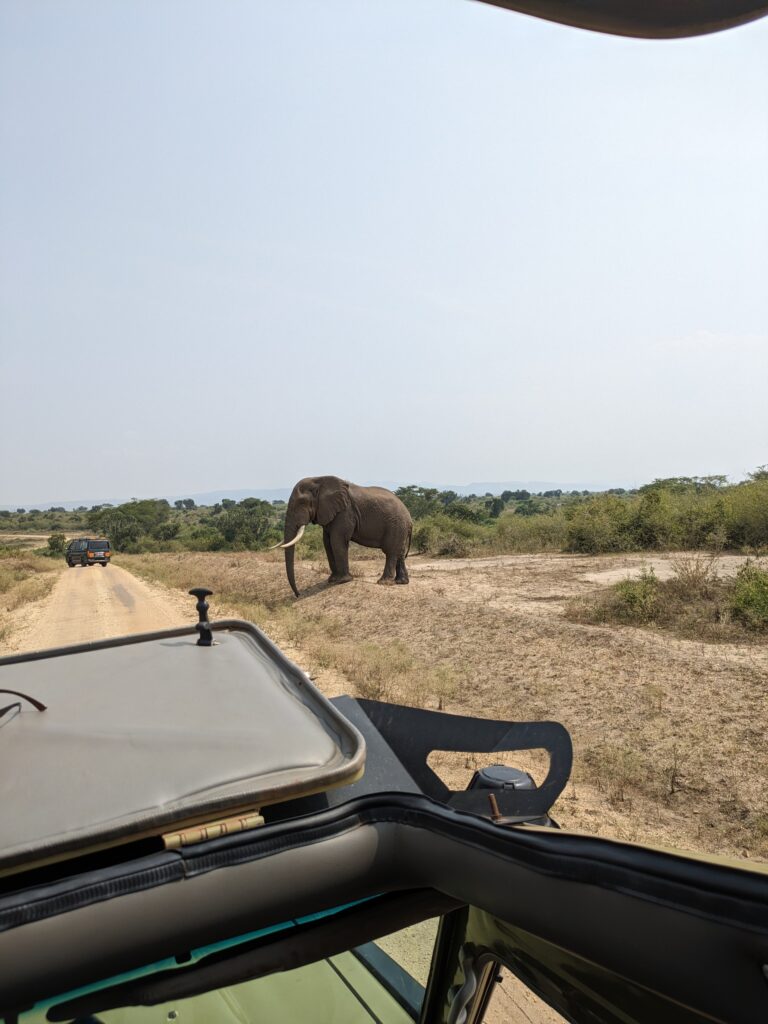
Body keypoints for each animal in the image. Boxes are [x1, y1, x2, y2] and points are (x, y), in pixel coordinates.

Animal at [274, 473, 411, 598]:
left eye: (302, 503)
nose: (298, 594)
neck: (319, 479)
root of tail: (409, 518)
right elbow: (327, 543)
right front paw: (332, 580)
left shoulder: (345, 512)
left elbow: (337, 540)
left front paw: (342, 581)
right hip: (400, 528)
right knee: (399, 552)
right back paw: (402, 582)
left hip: (396, 525)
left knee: (391, 552)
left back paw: (384, 583)